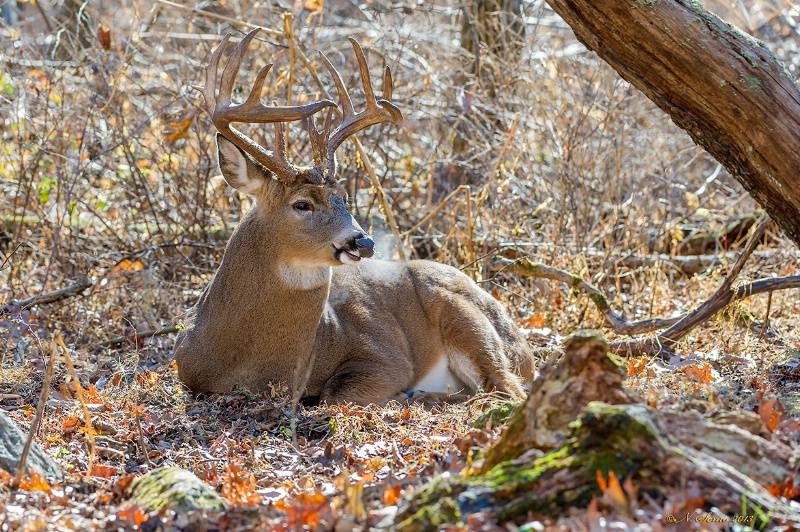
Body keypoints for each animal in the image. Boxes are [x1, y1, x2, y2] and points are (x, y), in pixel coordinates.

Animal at [178, 29, 536, 404]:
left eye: (344, 198)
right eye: (302, 204)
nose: (363, 242)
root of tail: (523, 346)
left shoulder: (386, 355)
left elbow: (333, 395)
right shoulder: (185, 370)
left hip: (466, 318)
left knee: (504, 388)